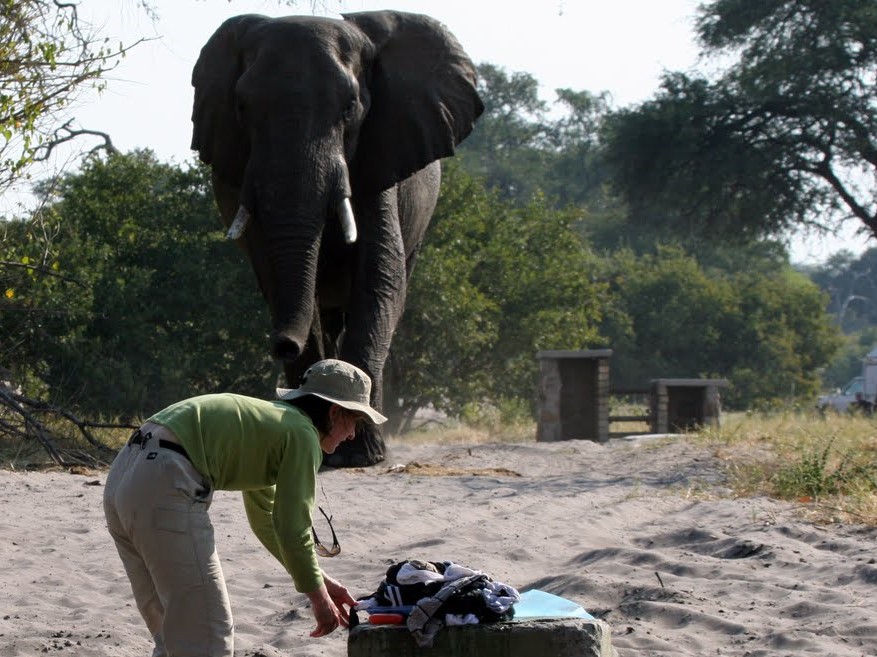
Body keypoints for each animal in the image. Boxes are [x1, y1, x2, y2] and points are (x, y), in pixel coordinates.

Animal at [187, 7, 482, 464]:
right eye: (242, 106)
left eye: (350, 107)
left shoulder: (380, 156)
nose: (283, 346)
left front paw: (363, 455)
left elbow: (378, 279)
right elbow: (280, 280)